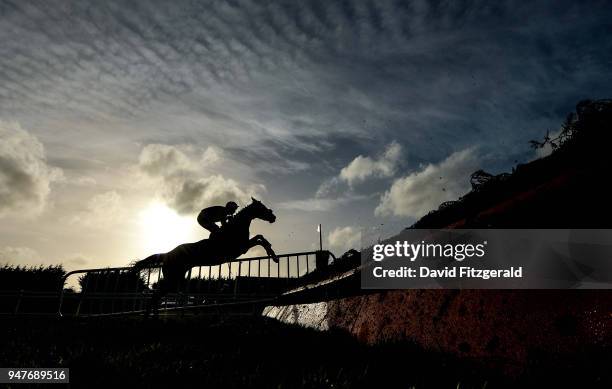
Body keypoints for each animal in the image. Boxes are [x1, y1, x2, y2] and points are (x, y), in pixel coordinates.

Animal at [133, 197, 280, 312]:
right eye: (262, 207)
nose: (273, 217)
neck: (235, 228)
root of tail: (168, 254)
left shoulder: (243, 246)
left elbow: (260, 237)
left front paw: (273, 254)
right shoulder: (241, 247)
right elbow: (259, 239)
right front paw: (273, 255)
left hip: (175, 278)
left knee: (155, 298)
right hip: (173, 278)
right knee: (154, 297)